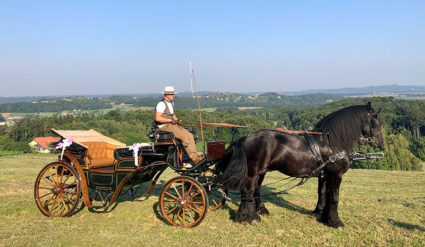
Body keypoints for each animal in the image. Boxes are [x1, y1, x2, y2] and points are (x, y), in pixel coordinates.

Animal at [217, 101, 382, 227]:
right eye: (376, 121)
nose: (379, 142)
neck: (331, 142)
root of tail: (246, 137)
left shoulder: (325, 175)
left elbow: (324, 194)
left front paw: (324, 217)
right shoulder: (336, 175)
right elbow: (334, 197)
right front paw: (336, 222)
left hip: (261, 171)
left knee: (254, 189)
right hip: (253, 171)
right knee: (248, 190)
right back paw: (248, 218)